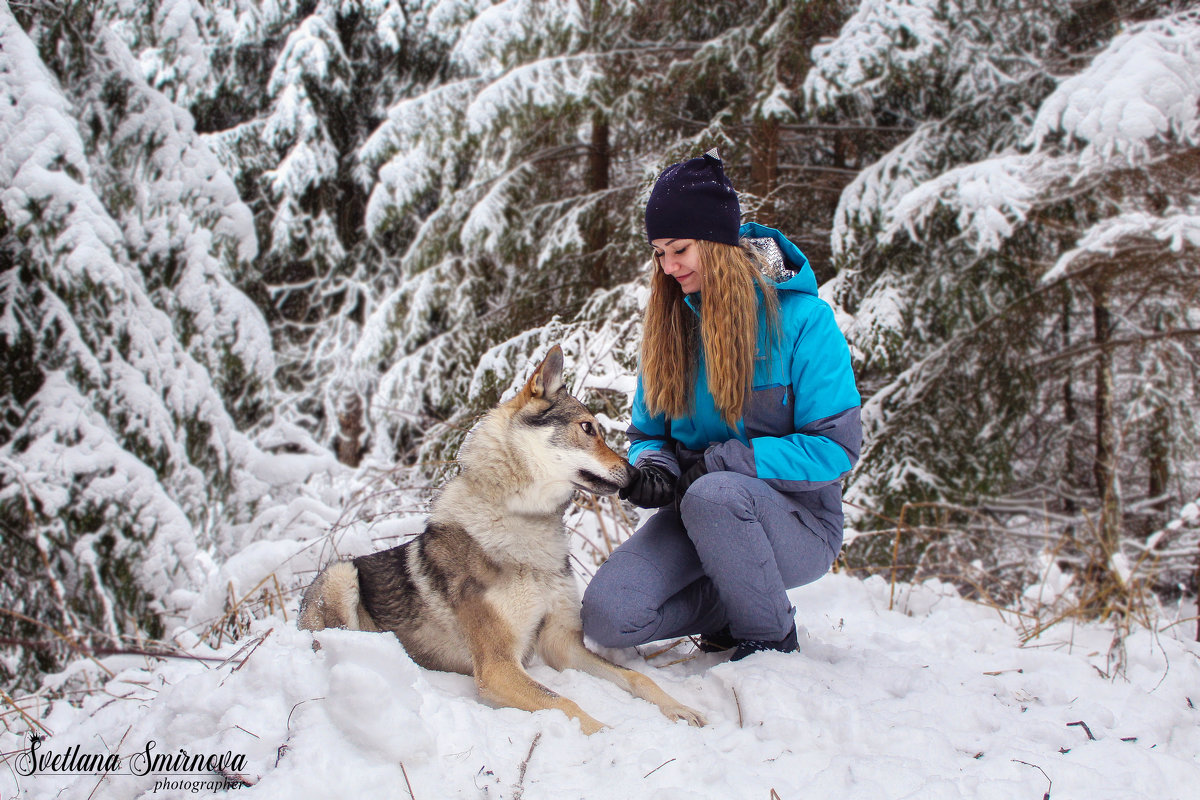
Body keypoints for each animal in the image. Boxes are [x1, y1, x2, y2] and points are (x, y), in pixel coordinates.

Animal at [300, 347, 705, 734]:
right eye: (588, 428)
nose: (636, 474)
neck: (525, 521)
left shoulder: (561, 644)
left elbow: (637, 678)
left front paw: (680, 708)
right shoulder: (497, 667)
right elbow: (567, 704)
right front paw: (608, 737)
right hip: (340, 575)